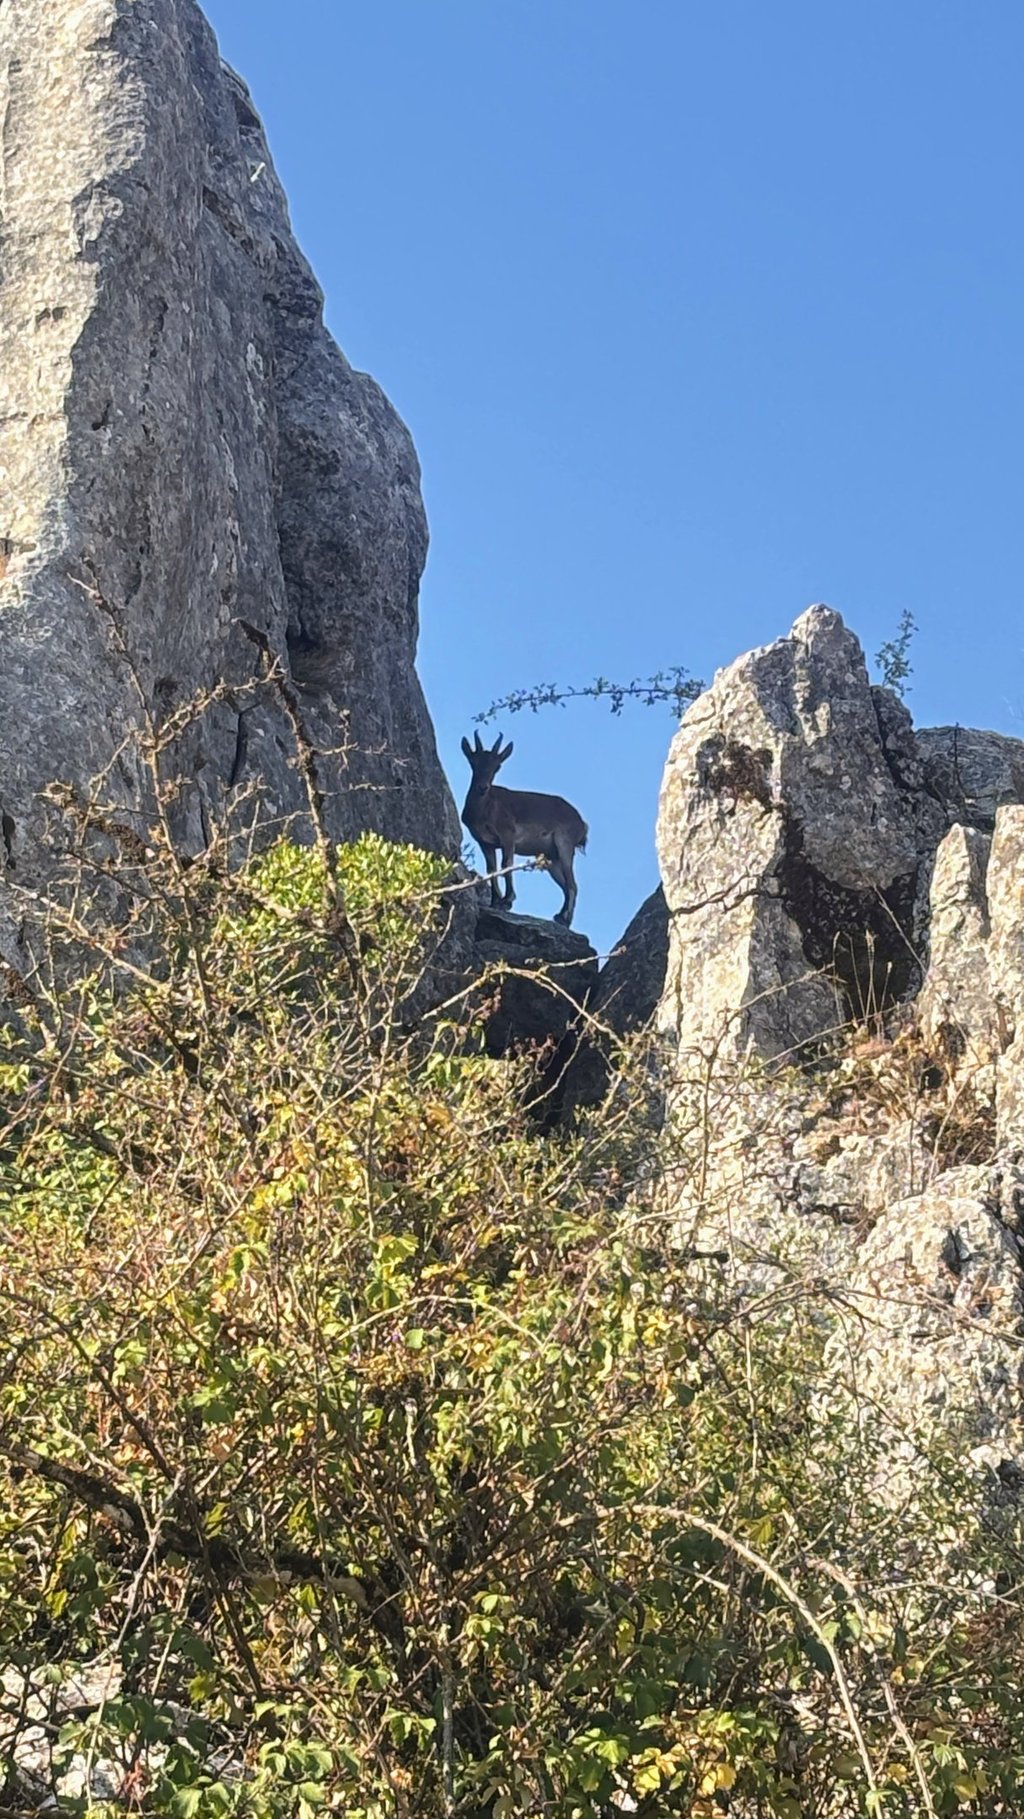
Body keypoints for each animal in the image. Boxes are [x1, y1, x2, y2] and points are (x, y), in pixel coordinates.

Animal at [460, 731, 588, 927]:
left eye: (497, 766)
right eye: (473, 762)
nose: (483, 787)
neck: (486, 809)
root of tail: (582, 824)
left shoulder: (507, 836)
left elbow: (506, 864)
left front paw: (507, 901)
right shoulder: (485, 842)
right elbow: (492, 869)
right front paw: (495, 901)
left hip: (565, 845)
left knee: (572, 884)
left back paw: (565, 919)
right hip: (552, 858)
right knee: (566, 885)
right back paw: (560, 917)